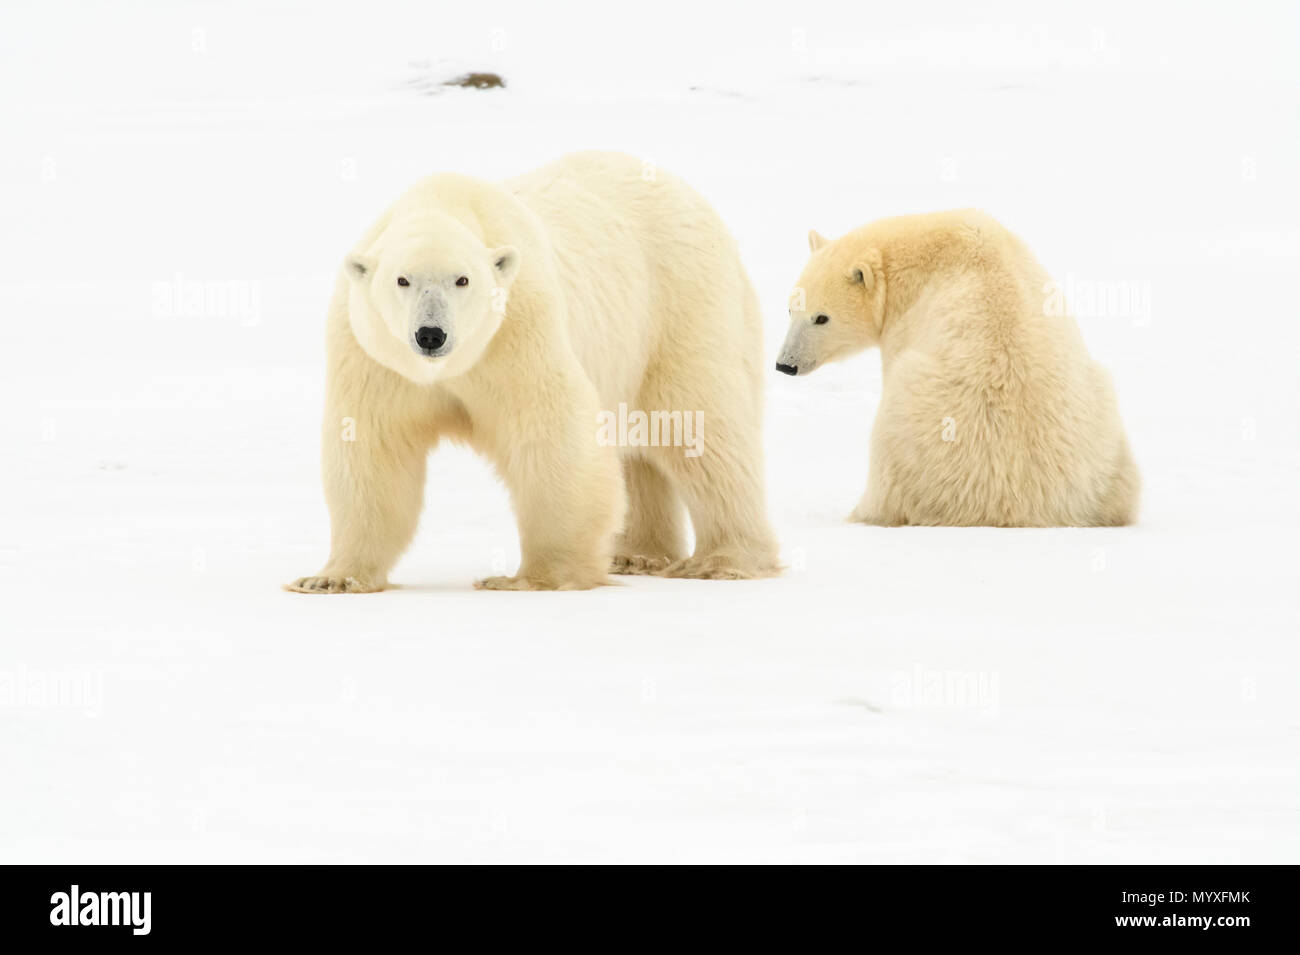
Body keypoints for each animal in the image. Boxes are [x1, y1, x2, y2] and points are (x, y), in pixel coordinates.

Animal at [289, 150, 774, 595]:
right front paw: (332, 578)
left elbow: (550, 432)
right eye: (401, 280)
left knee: (698, 423)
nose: (431, 334)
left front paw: (533, 577)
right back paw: (637, 555)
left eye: (463, 280)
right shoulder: (372, 356)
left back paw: (723, 561)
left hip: (681, 302)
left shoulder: (519, 328)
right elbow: (373, 449)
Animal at [769, 209, 1138, 527]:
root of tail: (1018, 503)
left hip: (913, 418)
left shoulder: (907, 321)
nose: (786, 364)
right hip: (1104, 427)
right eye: (791, 308)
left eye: (822, 317)